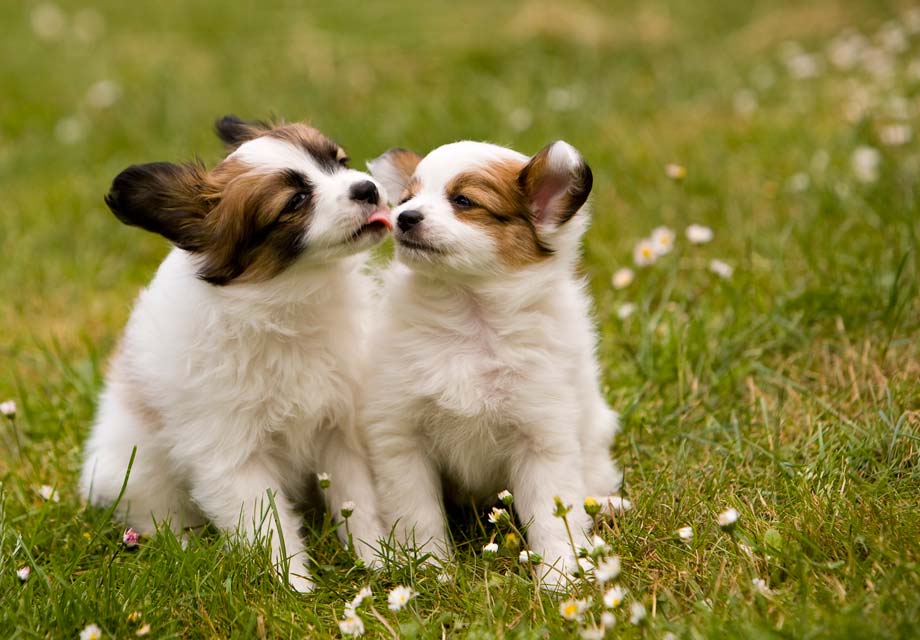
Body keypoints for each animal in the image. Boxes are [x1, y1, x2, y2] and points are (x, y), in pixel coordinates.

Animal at [80, 116, 392, 596]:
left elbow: (358, 501)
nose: (367, 188)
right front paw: (294, 588)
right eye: (296, 201)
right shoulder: (230, 456)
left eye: (340, 162)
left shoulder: (339, 428)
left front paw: (378, 561)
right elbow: (269, 526)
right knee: (157, 517)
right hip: (134, 474)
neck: (287, 303)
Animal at [364, 140, 624, 592]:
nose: (404, 217)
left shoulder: (543, 437)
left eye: (464, 201)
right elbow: (418, 515)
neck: (470, 318)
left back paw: (607, 506)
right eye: (408, 199)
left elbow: (554, 517)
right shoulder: (402, 438)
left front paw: (560, 578)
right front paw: (430, 569)